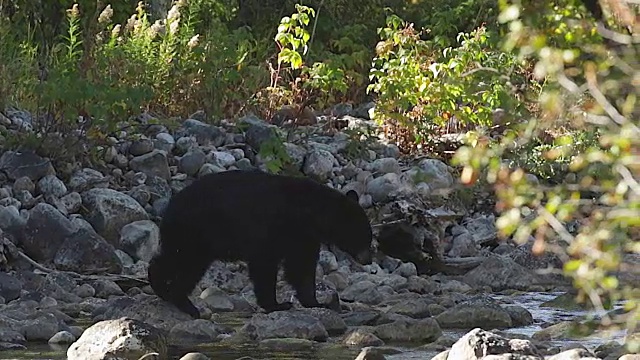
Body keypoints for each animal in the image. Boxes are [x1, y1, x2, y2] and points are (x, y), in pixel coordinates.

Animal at [148, 169, 372, 318]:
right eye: (365, 237)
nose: (369, 260)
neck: (308, 212)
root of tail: (171, 205)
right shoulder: (274, 228)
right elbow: (265, 265)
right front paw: (277, 304)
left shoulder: (304, 238)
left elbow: (301, 268)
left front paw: (316, 302)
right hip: (195, 232)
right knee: (181, 261)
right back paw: (173, 295)